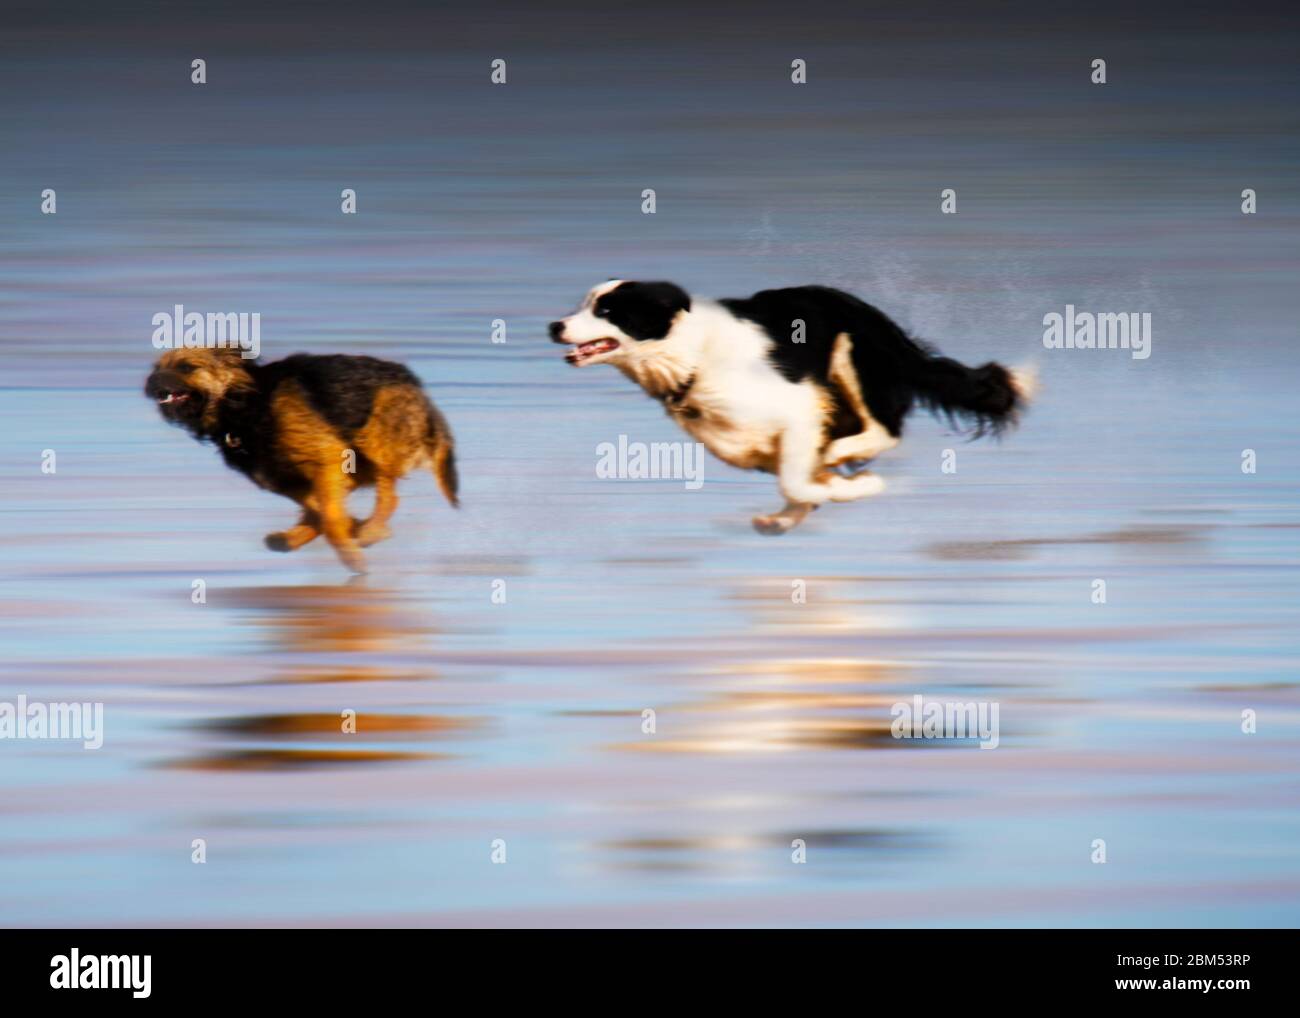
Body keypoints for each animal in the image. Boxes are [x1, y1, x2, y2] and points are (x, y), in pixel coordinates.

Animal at [145, 348, 460, 572]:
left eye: (187, 367)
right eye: (156, 368)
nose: (150, 381)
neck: (246, 404)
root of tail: (416, 385)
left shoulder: (327, 456)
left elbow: (330, 516)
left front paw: (352, 549)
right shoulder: (281, 478)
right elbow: (321, 510)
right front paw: (345, 530)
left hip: (375, 437)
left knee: (389, 494)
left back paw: (369, 530)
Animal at [551, 278, 1034, 533]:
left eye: (607, 310)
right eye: (584, 304)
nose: (553, 326)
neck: (692, 355)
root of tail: (887, 325)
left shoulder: (801, 408)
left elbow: (799, 482)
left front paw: (852, 487)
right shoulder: (752, 442)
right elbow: (794, 481)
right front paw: (794, 511)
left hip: (851, 353)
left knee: (885, 428)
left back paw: (845, 457)